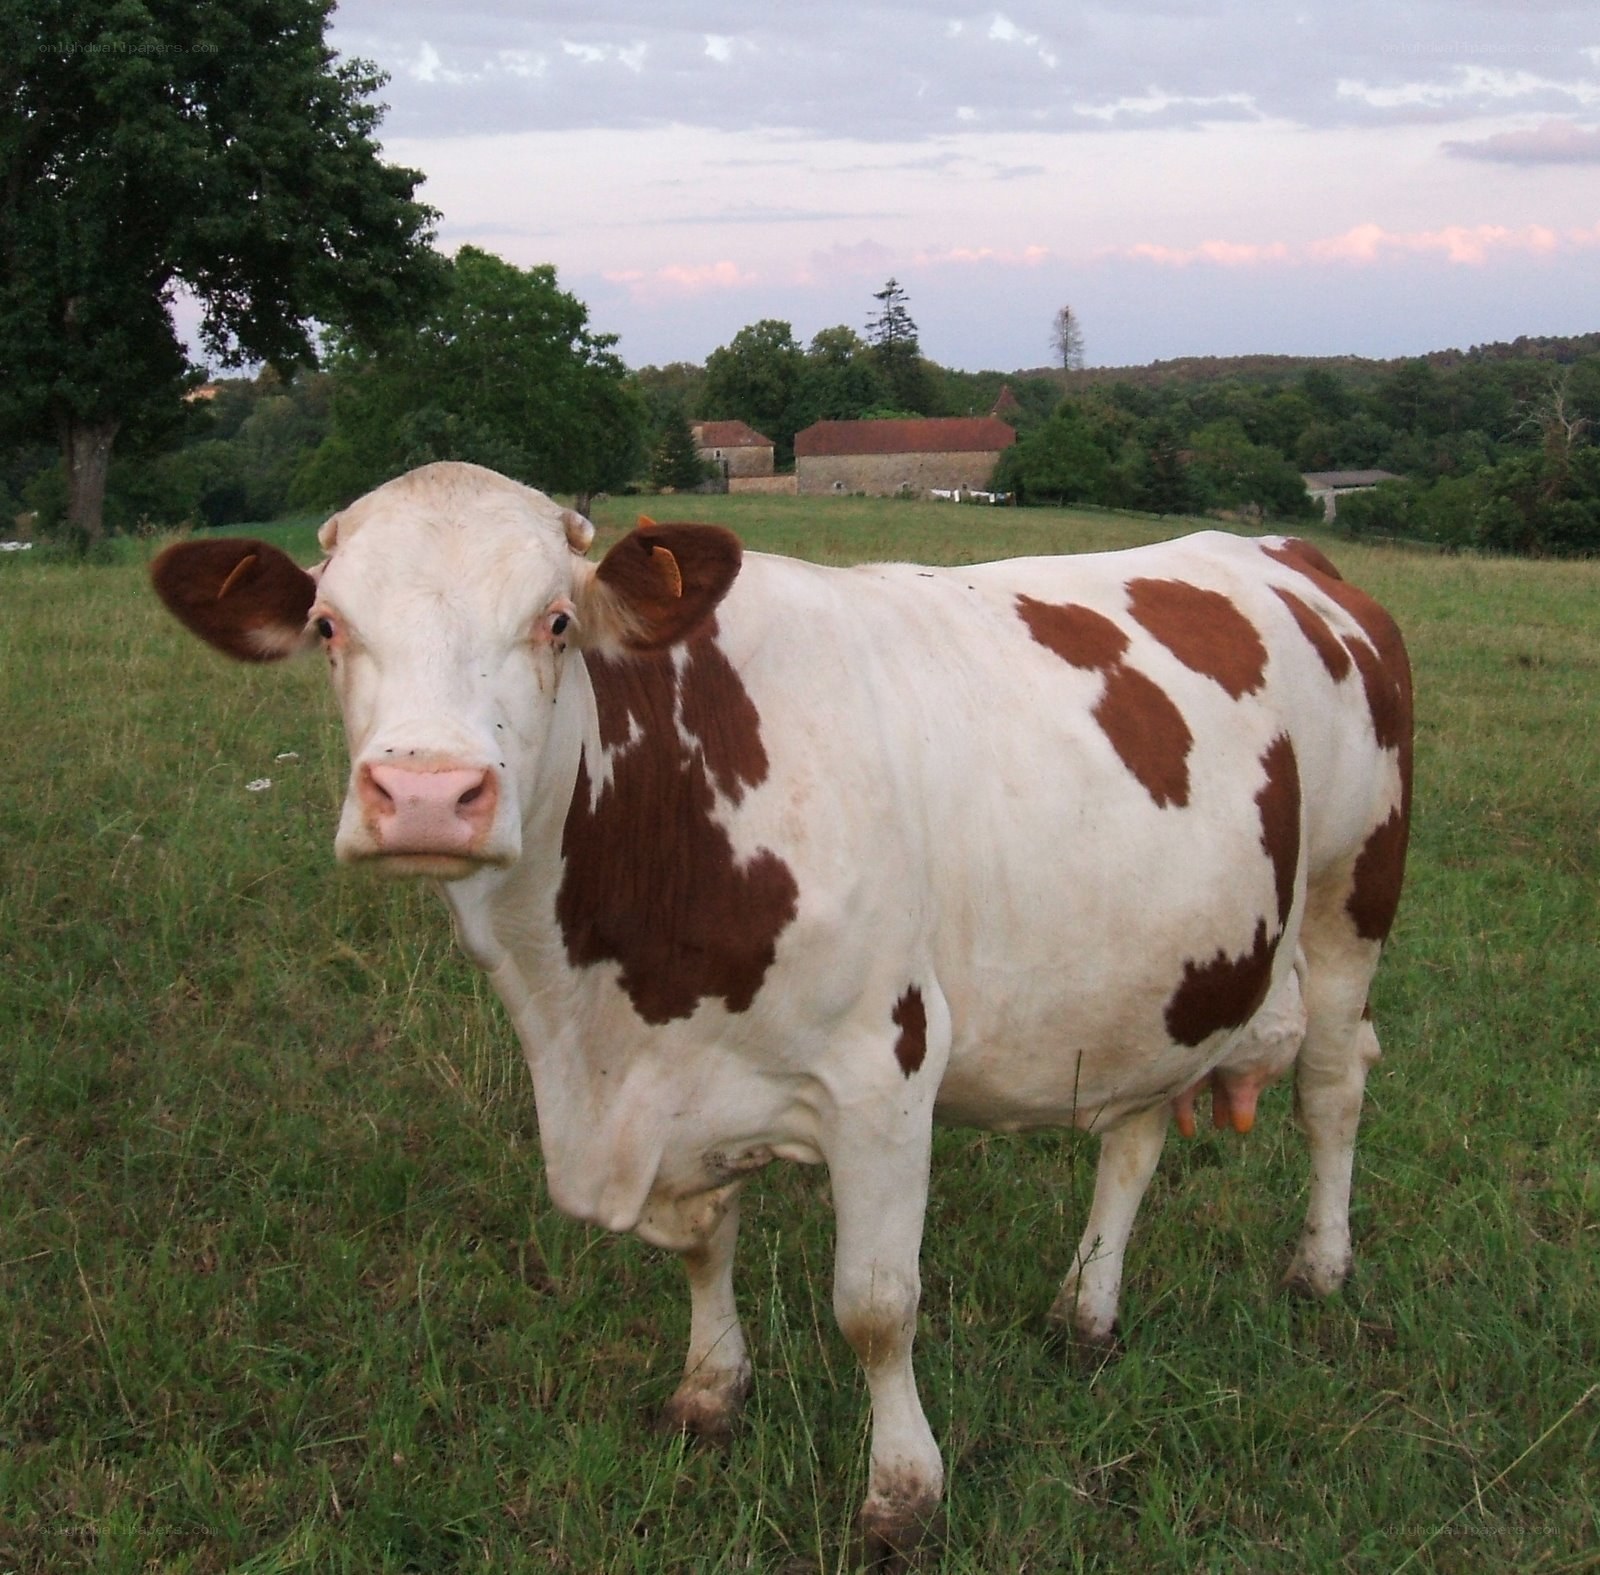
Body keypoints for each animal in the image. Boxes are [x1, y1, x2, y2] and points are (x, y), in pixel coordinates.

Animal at [151, 461, 1411, 1560]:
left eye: (555, 622)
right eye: (328, 626)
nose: (423, 793)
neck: (598, 1016)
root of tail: (1281, 548)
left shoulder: (883, 1071)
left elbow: (876, 1307)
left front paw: (903, 1495)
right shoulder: (670, 1085)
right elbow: (703, 1246)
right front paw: (710, 1391)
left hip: (1352, 894)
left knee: (1334, 1087)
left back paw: (1319, 1268)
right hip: (1159, 969)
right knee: (1136, 1133)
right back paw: (1085, 1311)